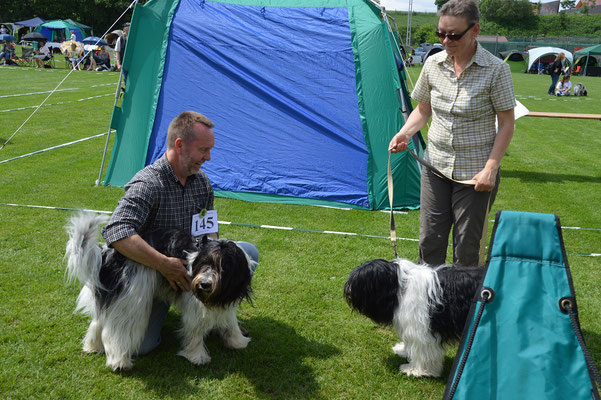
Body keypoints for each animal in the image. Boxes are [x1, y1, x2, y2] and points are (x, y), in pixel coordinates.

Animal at [65, 214, 253, 370]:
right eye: (205, 262)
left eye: (224, 267)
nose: (205, 284)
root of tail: (107, 253)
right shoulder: (194, 304)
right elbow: (195, 330)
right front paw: (197, 356)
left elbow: (230, 321)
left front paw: (237, 341)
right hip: (132, 298)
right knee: (117, 331)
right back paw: (120, 362)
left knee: (99, 321)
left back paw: (92, 346)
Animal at [342, 258, 482, 376]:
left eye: (359, 283)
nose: (347, 290)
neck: (401, 287)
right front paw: (403, 351)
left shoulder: (422, 329)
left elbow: (422, 349)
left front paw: (416, 370)